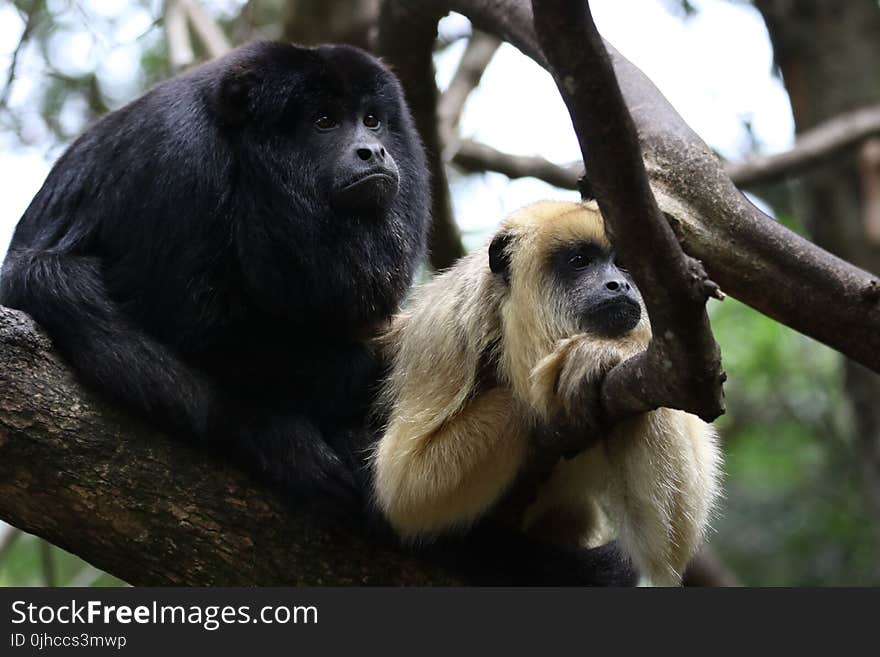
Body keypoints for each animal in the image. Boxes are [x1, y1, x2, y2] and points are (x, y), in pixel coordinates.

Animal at [372, 199, 720, 584]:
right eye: (580, 261)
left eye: (623, 264)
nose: (620, 285)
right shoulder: (444, 335)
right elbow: (407, 490)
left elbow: (669, 539)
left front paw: (609, 351)